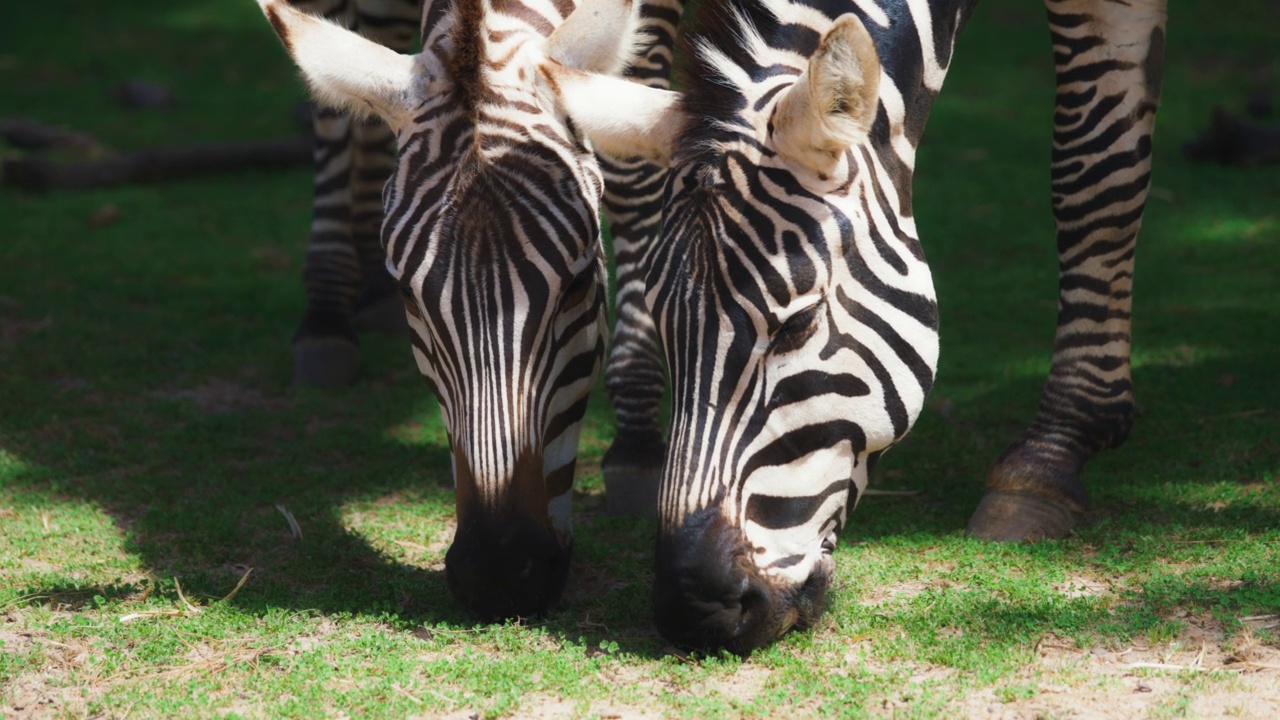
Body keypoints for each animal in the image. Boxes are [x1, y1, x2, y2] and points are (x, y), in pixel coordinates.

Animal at [252, 0, 670, 617]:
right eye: (410, 295)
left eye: (578, 284)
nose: (497, 577)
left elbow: (637, 167)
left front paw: (638, 439)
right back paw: (329, 315)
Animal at [555, 0, 1167, 650]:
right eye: (664, 327)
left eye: (796, 324)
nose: (695, 610)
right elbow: (630, 179)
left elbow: (1093, 178)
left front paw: (1055, 448)